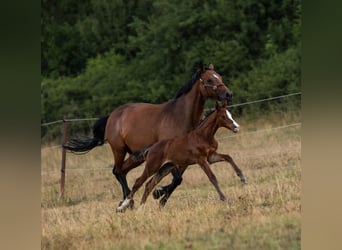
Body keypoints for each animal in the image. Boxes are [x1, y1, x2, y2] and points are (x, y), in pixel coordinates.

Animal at [63, 63, 234, 208]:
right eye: (210, 79)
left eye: (220, 77)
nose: (228, 94)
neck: (181, 116)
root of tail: (112, 116)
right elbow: (177, 178)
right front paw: (158, 194)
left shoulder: (186, 157)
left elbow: (177, 180)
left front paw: (160, 196)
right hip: (119, 150)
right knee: (117, 171)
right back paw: (127, 202)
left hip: (136, 156)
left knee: (122, 171)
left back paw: (126, 201)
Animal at [117, 100, 246, 212]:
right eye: (223, 116)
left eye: (230, 115)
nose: (237, 127)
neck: (203, 136)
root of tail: (152, 147)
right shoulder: (201, 160)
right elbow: (212, 177)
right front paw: (224, 198)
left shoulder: (211, 157)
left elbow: (228, 157)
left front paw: (242, 178)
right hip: (152, 166)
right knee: (138, 182)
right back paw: (123, 206)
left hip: (165, 168)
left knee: (149, 184)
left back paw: (140, 209)